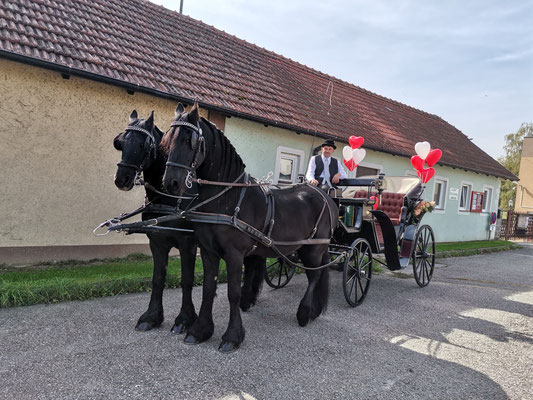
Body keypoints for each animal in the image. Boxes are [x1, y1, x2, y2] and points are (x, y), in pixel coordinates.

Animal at [112, 109, 197, 334]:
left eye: (143, 144)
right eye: (121, 143)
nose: (121, 179)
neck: (170, 198)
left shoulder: (188, 244)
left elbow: (187, 280)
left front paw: (185, 319)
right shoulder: (157, 242)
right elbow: (158, 278)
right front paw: (152, 317)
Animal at [162, 104, 336, 354]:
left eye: (189, 141)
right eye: (167, 140)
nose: (171, 183)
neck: (227, 197)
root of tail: (324, 194)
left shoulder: (234, 254)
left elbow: (233, 293)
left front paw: (232, 336)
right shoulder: (208, 251)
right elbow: (208, 288)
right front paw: (200, 330)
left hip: (313, 248)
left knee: (315, 276)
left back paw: (305, 313)